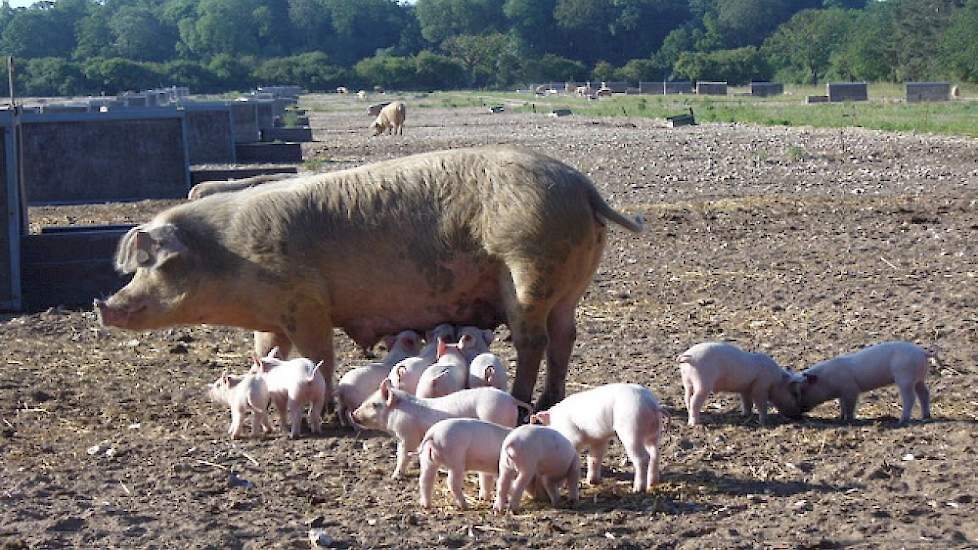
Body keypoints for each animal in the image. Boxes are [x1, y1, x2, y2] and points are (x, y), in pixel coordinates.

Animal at [91, 147, 640, 414]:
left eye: (155, 265)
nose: (105, 304)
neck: (228, 256)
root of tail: (582, 185)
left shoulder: (306, 302)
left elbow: (318, 353)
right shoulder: (272, 317)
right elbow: (266, 350)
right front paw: (262, 373)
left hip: (528, 271)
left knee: (534, 338)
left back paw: (527, 402)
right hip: (570, 283)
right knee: (565, 335)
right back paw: (550, 399)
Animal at [350, 382, 528, 480]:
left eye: (374, 405)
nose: (353, 414)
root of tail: (512, 400)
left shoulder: (408, 436)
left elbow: (403, 456)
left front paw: (394, 477)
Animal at [528, 384, 668, 496]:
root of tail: (652, 404)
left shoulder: (573, 434)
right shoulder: (598, 439)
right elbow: (594, 458)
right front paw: (592, 482)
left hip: (631, 430)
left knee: (643, 458)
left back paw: (638, 489)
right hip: (653, 433)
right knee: (655, 454)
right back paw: (653, 483)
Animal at [676, 342, 804, 430]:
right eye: (794, 393)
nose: (799, 416)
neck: (776, 380)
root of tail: (689, 357)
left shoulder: (745, 389)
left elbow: (747, 402)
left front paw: (745, 414)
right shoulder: (760, 387)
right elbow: (761, 404)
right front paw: (764, 421)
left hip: (687, 381)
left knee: (687, 399)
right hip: (702, 383)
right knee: (694, 401)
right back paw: (695, 424)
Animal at [792, 340, 932, 426]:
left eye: (803, 390)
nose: (800, 410)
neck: (827, 379)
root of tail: (922, 352)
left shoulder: (851, 389)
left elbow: (849, 406)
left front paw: (848, 420)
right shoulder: (842, 393)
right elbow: (842, 405)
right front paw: (840, 417)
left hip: (905, 378)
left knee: (910, 398)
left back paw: (901, 421)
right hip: (919, 379)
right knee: (924, 393)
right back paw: (925, 416)